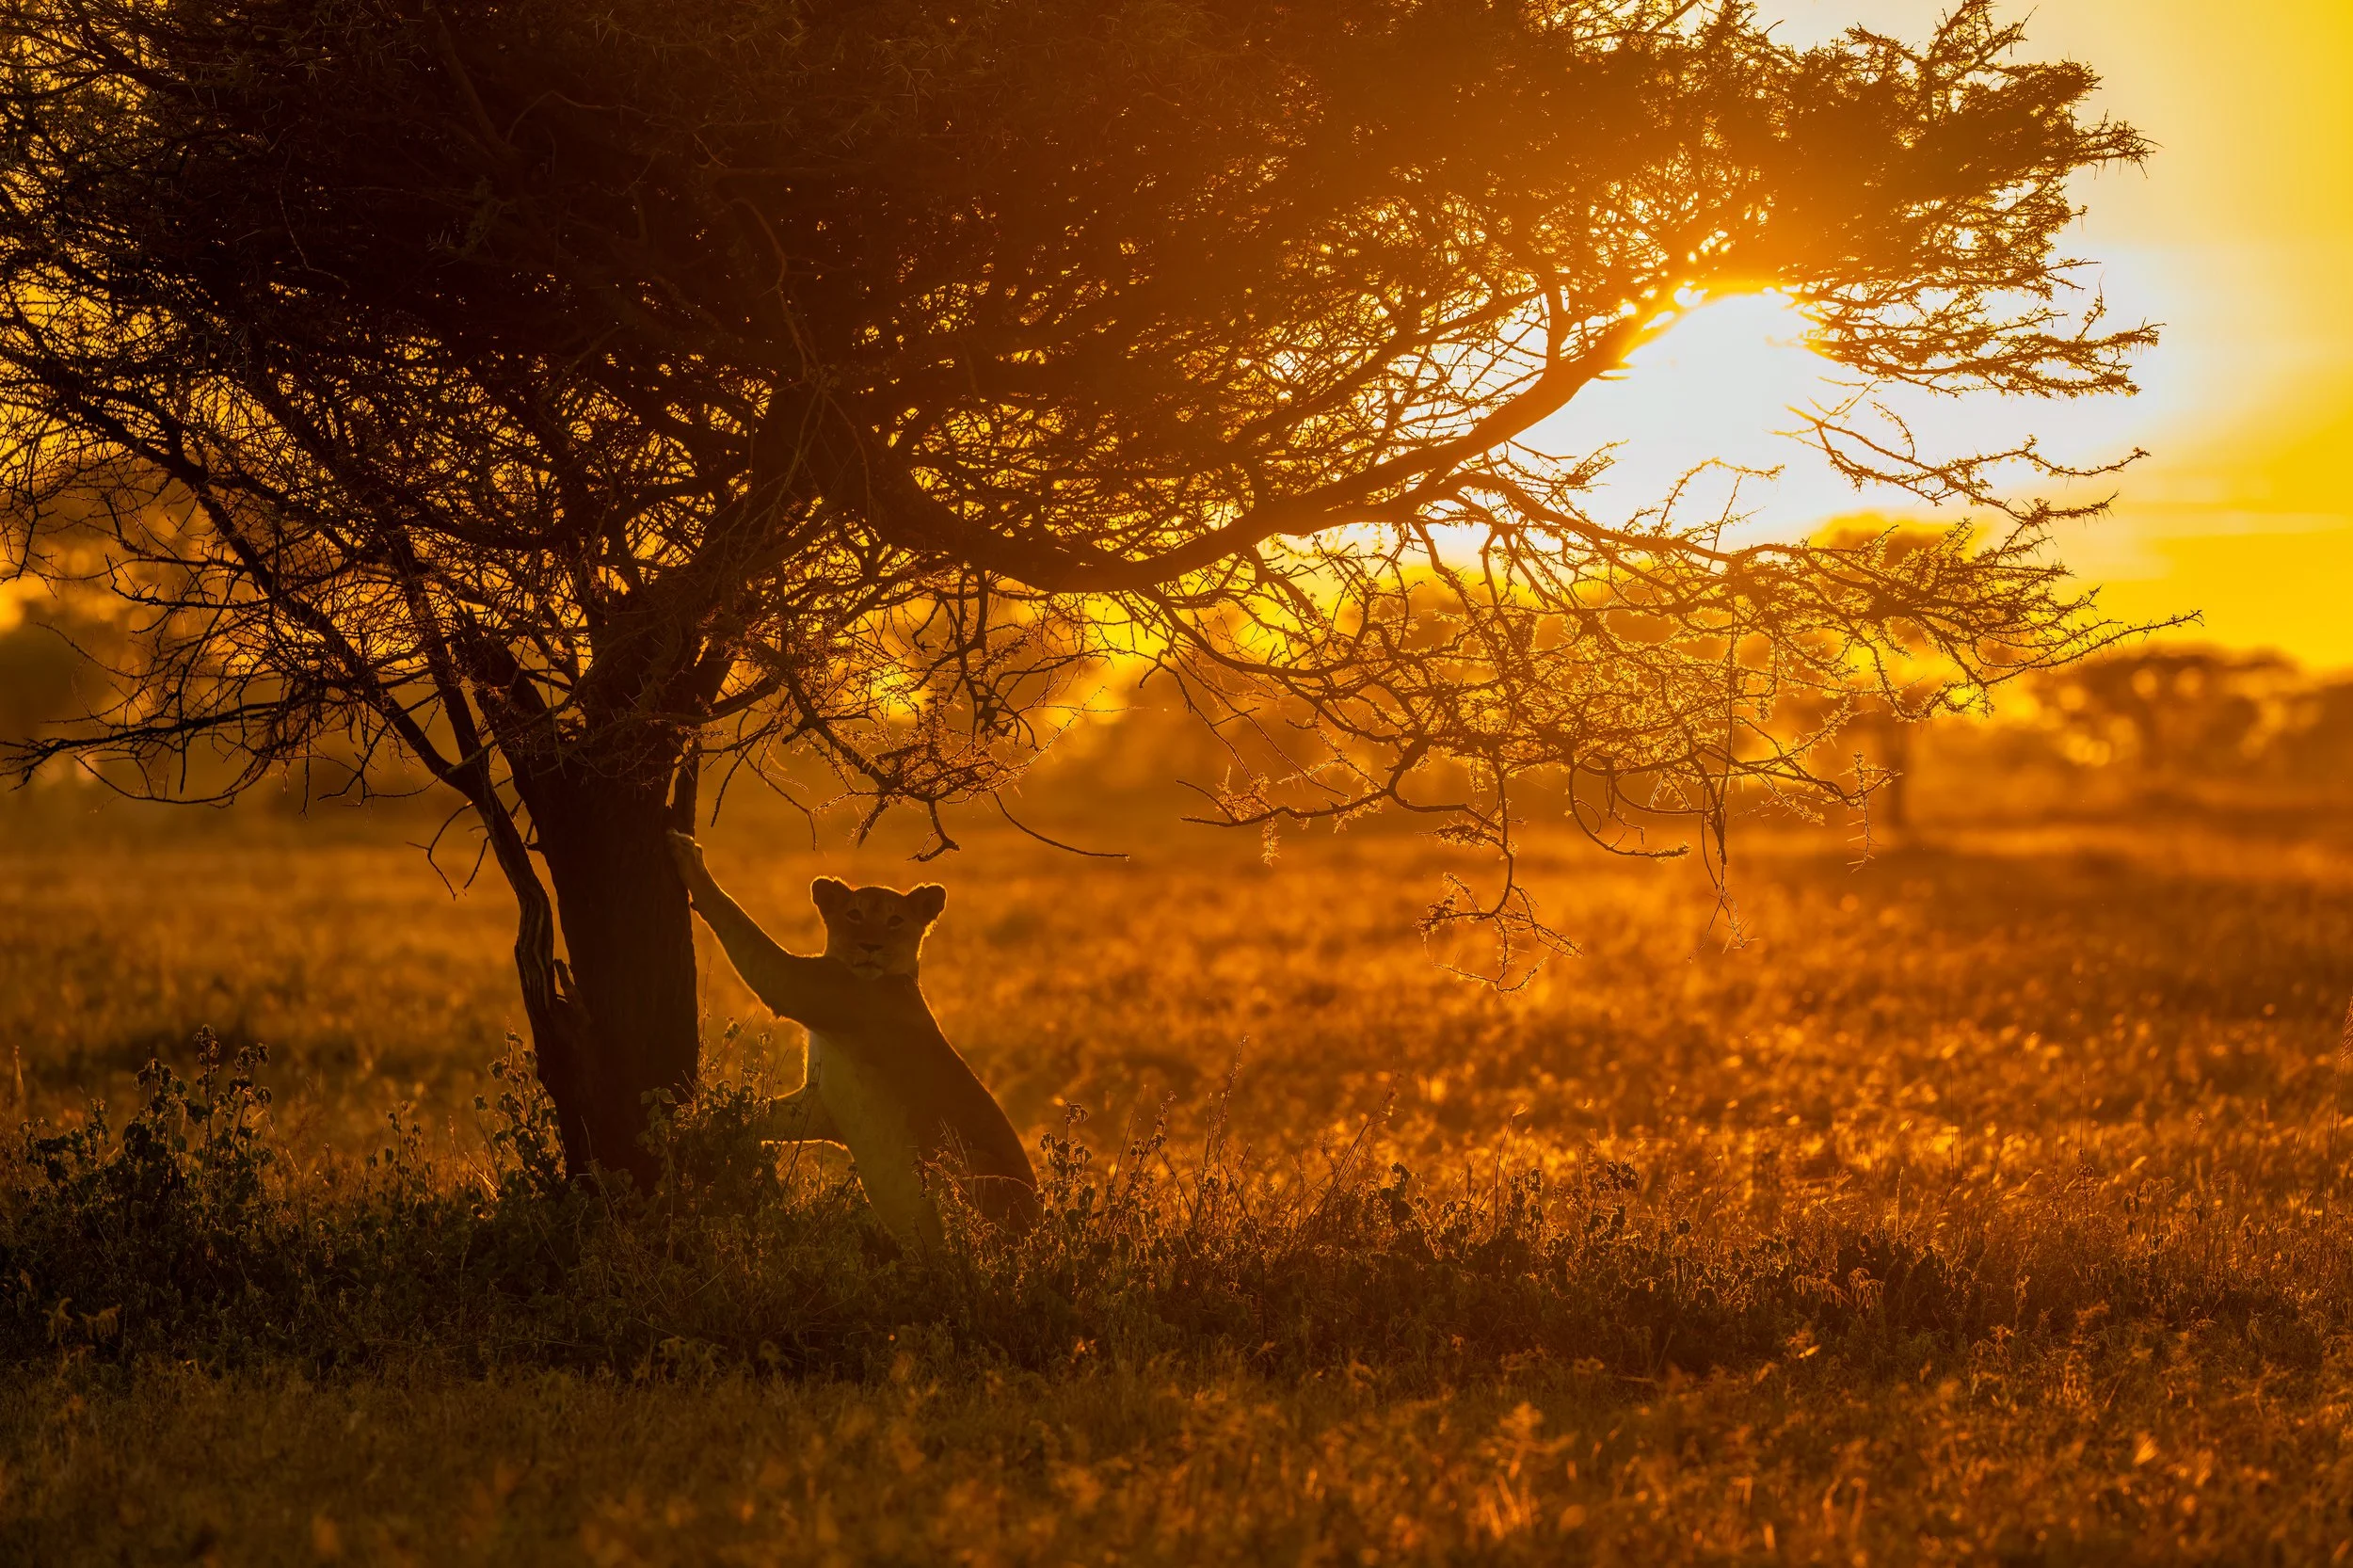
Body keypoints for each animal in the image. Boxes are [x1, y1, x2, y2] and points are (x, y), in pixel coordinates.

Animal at [666, 831, 1038, 1243]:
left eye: (895, 920)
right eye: (854, 914)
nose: (871, 946)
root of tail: (1041, 1234)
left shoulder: (801, 985)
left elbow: (741, 924)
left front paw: (690, 857)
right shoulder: (819, 1105)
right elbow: (759, 1116)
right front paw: (704, 1132)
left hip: (968, 1167)